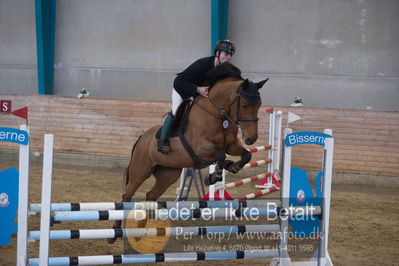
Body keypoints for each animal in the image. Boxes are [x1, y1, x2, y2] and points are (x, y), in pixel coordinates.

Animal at [108, 64, 268, 243]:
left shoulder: (231, 145)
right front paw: (213, 176)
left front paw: (233, 166)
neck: (217, 113)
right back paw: (115, 232)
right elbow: (220, 155)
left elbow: (245, 155)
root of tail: (142, 138)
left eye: (259, 105)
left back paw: (140, 228)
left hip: (168, 174)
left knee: (150, 195)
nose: (251, 138)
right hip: (141, 170)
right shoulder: (201, 148)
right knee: (126, 196)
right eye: (246, 105)